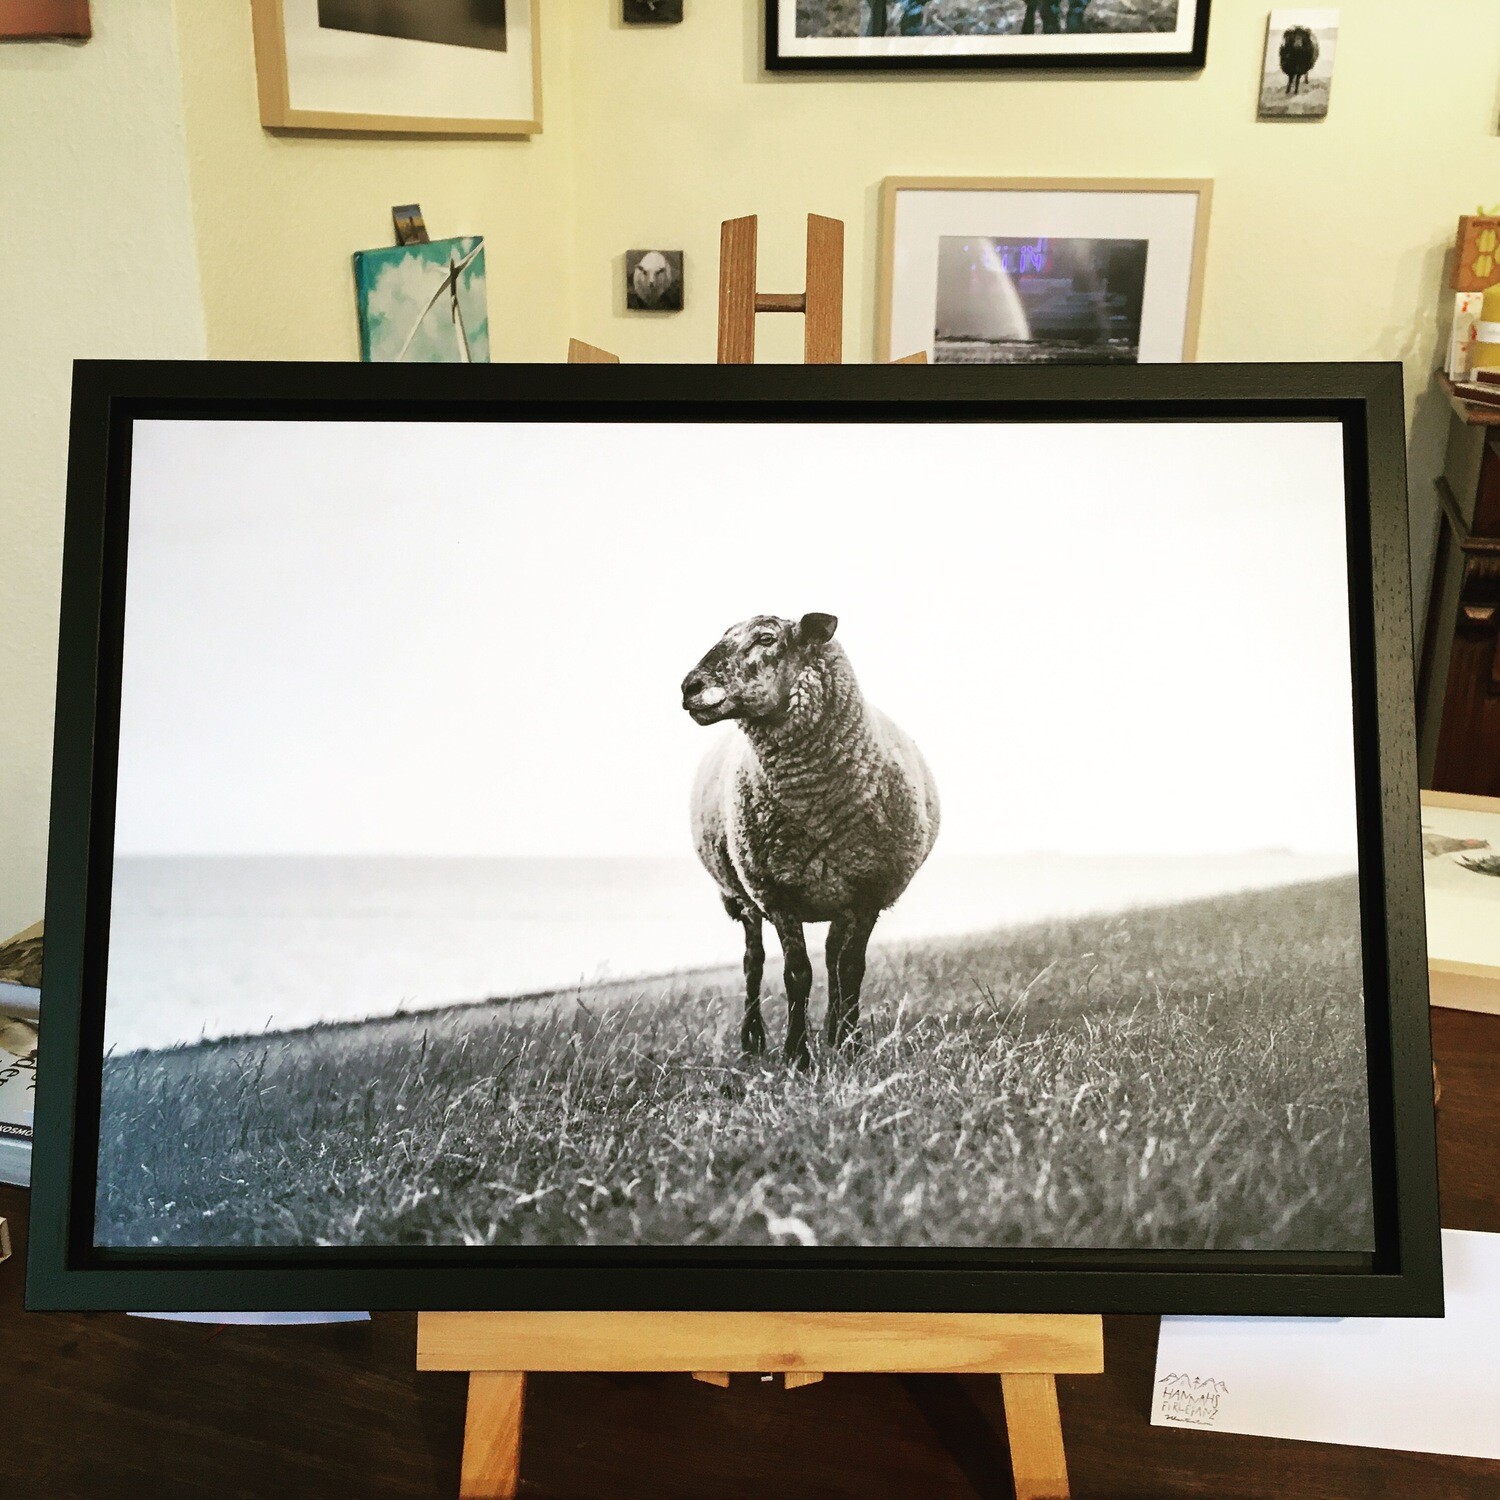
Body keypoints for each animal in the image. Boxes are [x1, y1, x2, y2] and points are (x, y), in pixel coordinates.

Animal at [681, 612, 936, 1068]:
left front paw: (851, 1045)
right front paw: (796, 1054)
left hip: (835, 892)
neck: (817, 804)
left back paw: (834, 1031)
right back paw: (752, 1040)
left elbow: (851, 969)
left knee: (833, 955)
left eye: (766, 638)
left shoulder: (868, 890)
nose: (688, 687)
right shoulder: (776, 892)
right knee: (753, 962)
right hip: (744, 896)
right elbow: (796, 974)